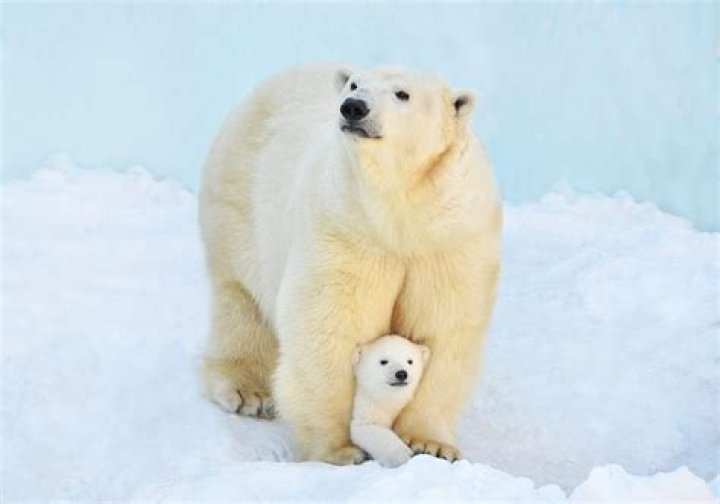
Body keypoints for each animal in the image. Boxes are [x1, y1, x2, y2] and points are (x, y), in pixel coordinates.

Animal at [351, 335, 431, 467]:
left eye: (410, 361)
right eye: (383, 361)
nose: (401, 374)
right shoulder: (367, 402)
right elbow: (366, 426)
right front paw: (402, 455)